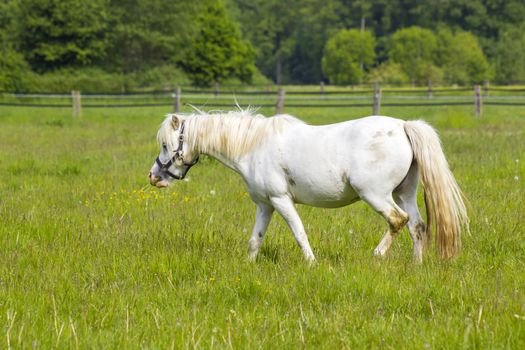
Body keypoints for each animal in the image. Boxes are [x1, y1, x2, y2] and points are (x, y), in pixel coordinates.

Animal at [147, 109, 466, 262]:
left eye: (165, 144)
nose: (154, 177)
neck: (252, 145)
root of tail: (402, 126)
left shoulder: (280, 200)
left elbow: (299, 233)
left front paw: (312, 263)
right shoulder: (265, 205)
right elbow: (255, 240)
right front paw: (248, 266)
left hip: (376, 195)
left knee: (397, 220)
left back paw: (376, 256)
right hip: (404, 193)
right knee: (417, 226)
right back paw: (416, 265)